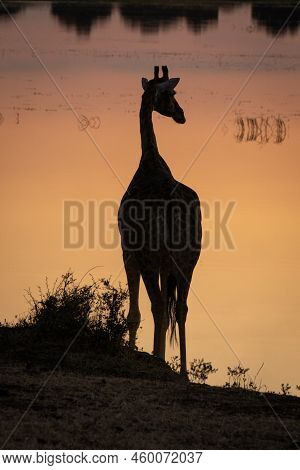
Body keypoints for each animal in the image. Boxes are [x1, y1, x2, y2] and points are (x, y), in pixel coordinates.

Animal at [118, 66, 202, 374]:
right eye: (172, 93)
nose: (181, 115)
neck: (149, 160)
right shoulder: (165, 263)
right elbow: (165, 311)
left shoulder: (128, 250)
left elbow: (136, 313)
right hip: (189, 259)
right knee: (180, 309)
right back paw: (184, 370)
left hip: (154, 256)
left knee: (158, 307)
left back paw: (159, 360)